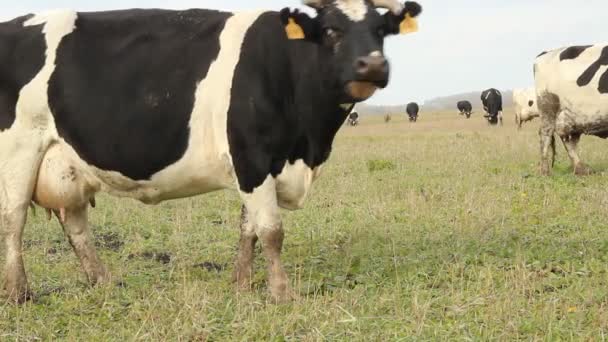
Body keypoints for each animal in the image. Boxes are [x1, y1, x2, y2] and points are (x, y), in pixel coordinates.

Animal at [1, 0, 422, 302]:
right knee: (14, 219)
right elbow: (271, 231)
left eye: (381, 31)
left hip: (66, 162)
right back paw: (20, 292)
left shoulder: (258, 166)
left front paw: (241, 284)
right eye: (333, 30)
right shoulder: (252, 156)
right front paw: (282, 293)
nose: (373, 65)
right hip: (19, 151)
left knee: (75, 226)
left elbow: (248, 229)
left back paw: (102, 281)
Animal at [536, 44, 608, 175]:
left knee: (568, 139)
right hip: (547, 106)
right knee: (545, 135)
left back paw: (581, 168)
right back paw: (545, 171)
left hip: (572, 117)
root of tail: (546, 53)